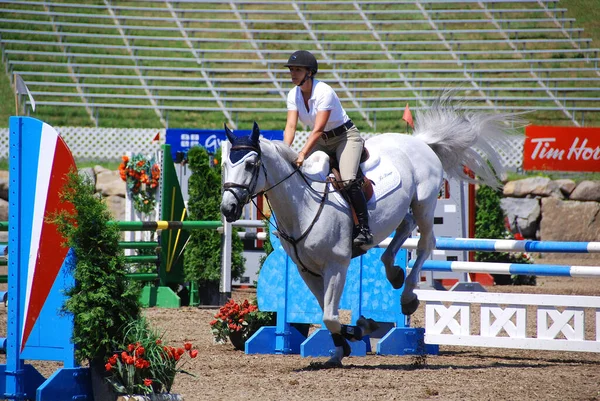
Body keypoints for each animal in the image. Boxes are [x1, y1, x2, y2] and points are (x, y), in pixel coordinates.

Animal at [220, 91, 520, 366]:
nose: (228, 209)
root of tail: (420, 141)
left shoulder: (336, 265)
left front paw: (361, 329)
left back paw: (407, 295)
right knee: (404, 229)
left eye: (251, 164)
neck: (302, 206)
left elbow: (330, 316)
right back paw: (393, 272)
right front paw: (340, 350)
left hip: (424, 203)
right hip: (404, 209)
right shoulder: (307, 271)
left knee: (426, 242)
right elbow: (325, 314)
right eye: (225, 164)